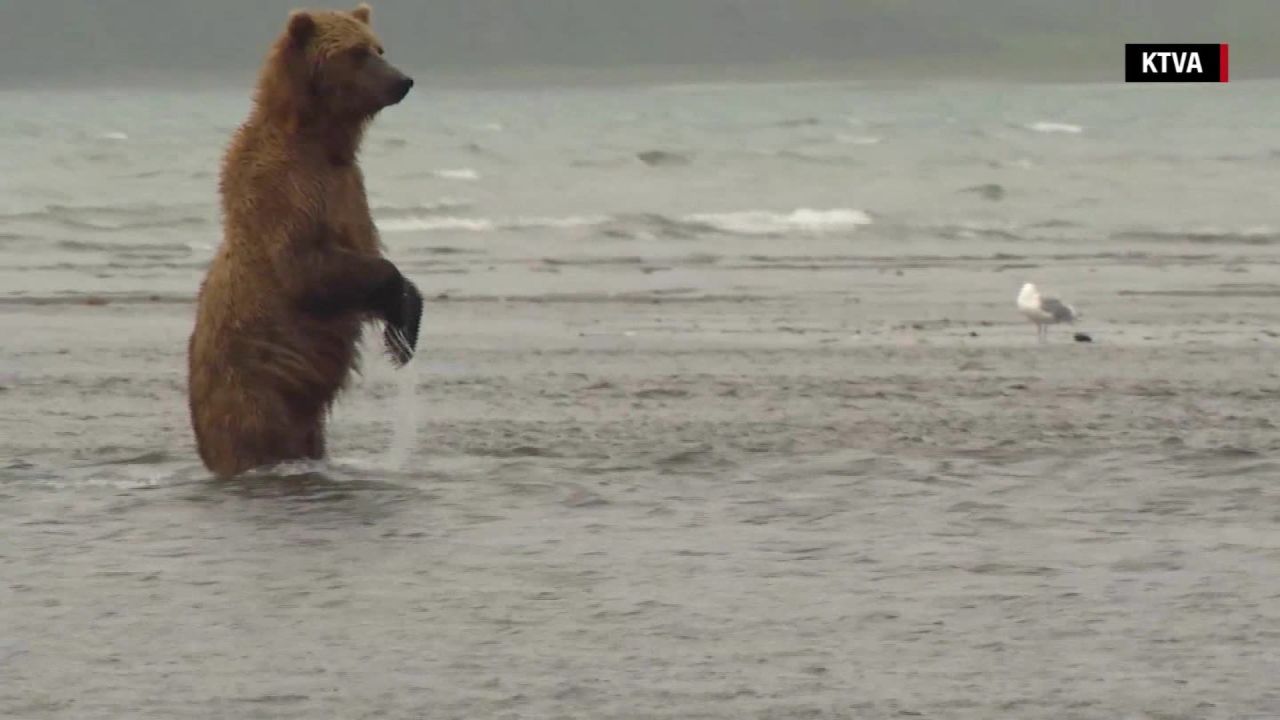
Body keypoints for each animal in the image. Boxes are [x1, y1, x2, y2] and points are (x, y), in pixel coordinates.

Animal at [186, 5, 422, 479]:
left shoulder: (348, 186)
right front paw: (398, 302)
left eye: (379, 47)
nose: (402, 80)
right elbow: (306, 267)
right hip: (253, 388)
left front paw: (407, 316)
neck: (317, 137)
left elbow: (363, 255)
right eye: (356, 53)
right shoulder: (287, 187)